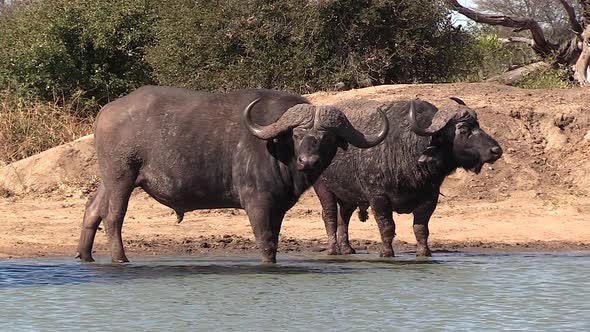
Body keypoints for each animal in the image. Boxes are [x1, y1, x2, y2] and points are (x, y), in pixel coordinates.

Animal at [77, 87, 394, 264]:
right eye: (298, 134)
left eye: (327, 138)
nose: (309, 161)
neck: (278, 150)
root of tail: (106, 111)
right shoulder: (257, 203)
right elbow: (265, 241)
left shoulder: (279, 207)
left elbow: (275, 239)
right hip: (121, 177)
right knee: (113, 216)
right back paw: (120, 258)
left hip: (108, 179)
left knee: (93, 209)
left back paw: (85, 255)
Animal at [314, 97, 504, 258]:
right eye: (464, 129)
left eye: (478, 125)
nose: (496, 150)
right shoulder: (378, 198)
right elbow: (387, 226)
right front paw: (386, 253)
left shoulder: (429, 198)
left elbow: (421, 228)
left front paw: (424, 252)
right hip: (324, 189)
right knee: (330, 217)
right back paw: (333, 249)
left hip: (349, 196)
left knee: (343, 218)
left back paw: (347, 248)